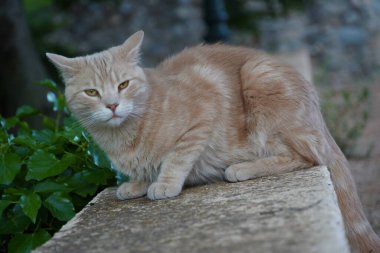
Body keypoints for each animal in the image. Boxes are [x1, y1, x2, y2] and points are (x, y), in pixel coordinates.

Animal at [46, 30, 378, 252]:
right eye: (92, 92)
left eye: (123, 85)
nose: (112, 105)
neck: (124, 137)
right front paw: (137, 183)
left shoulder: (202, 118)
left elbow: (176, 159)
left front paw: (164, 183)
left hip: (259, 80)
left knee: (304, 156)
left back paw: (241, 168)